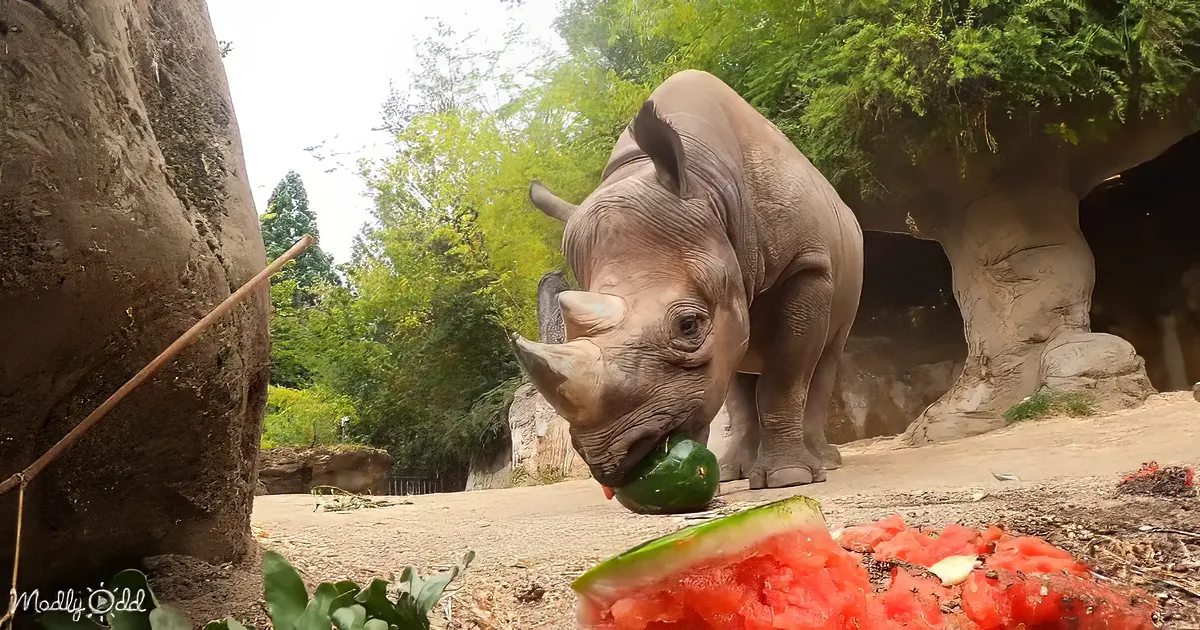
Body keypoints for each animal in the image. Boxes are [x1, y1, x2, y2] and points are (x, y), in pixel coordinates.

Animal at [510, 70, 864, 490]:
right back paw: (733, 472)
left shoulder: (805, 265)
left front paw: (788, 478)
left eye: (689, 324)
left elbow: (785, 379)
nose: (610, 458)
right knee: (742, 369)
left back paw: (825, 463)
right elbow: (732, 377)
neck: (711, 190)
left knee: (827, 355)